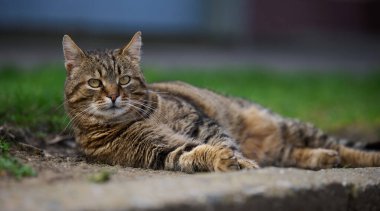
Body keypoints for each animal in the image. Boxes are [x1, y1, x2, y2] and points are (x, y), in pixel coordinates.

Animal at [63, 31, 380, 173]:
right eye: (95, 83)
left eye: (125, 79)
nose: (114, 95)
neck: (136, 118)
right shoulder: (159, 151)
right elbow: (192, 153)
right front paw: (223, 160)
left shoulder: (200, 123)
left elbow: (223, 140)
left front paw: (241, 161)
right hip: (282, 146)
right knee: (295, 153)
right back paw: (322, 158)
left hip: (293, 126)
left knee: (344, 147)